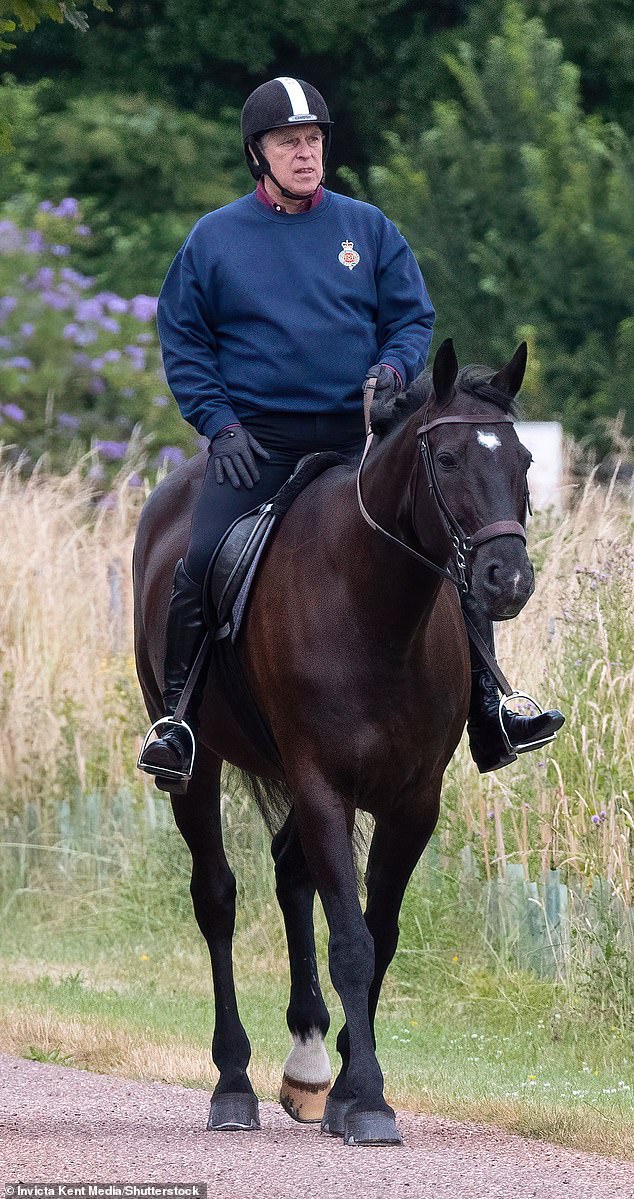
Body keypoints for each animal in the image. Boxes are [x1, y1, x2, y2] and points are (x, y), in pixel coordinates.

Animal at [133, 338, 534, 1141]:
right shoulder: (322, 783)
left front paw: (348, 1084)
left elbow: (379, 934)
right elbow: (350, 939)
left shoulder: (413, 801)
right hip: (199, 770)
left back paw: (308, 1061)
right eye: (447, 459)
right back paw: (233, 1083)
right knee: (216, 896)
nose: (507, 579)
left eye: (525, 460)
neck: (372, 607)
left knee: (292, 872)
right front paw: (371, 1097)